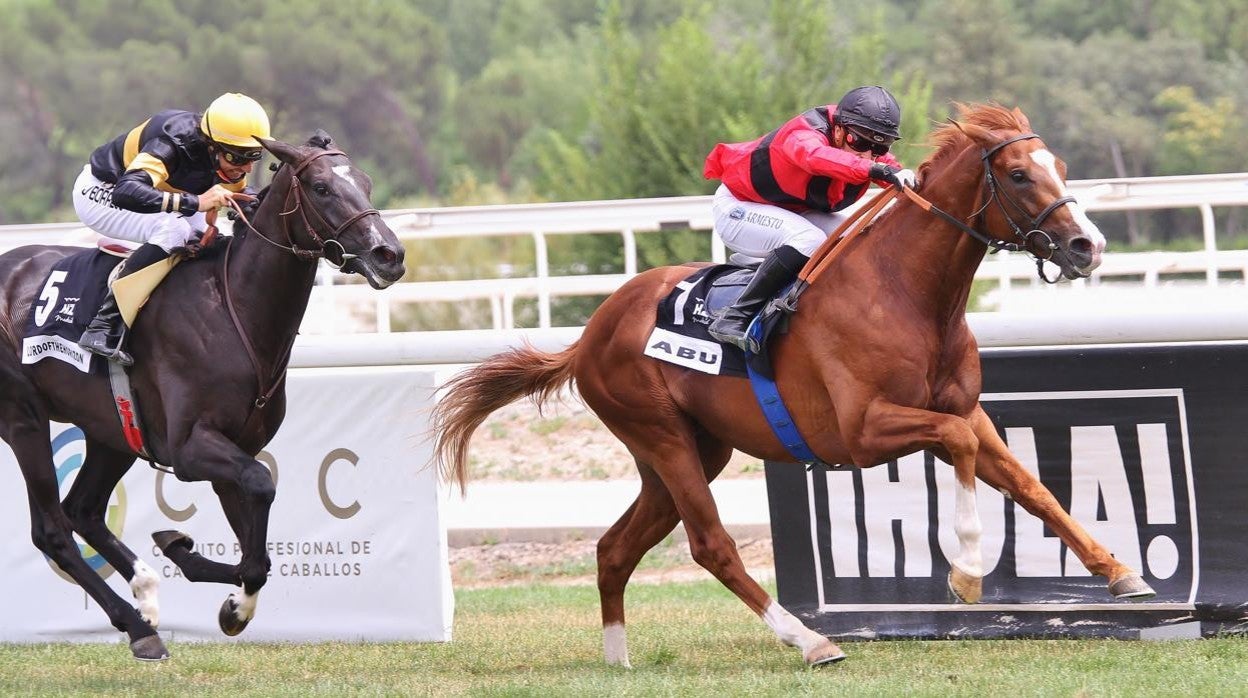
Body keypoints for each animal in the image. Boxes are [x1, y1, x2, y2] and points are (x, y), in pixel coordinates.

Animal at [0, 131, 404, 659]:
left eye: (366, 182)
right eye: (321, 188)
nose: (389, 255)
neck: (235, 310)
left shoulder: (234, 448)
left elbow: (257, 547)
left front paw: (224, 595)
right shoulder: (191, 449)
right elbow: (261, 487)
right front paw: (204, 573)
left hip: (112, 430)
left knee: (82, 511)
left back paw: (146, 593)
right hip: (23, 418)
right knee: (52, 530)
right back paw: (137, 626)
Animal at [434, 103, 1153, 664]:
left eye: (1062, 168)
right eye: (1019, 173)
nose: (1088, 247)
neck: (908, 293)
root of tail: (589, 334)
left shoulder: (965, 408)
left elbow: (1031, 486)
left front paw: (1121, 573)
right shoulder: (864, 431)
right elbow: (962, 448)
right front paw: (968, 574)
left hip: (685, 451)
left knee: (615, 547)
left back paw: (619, 657)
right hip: (662, 436)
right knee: (711, 545)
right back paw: (809, 640)